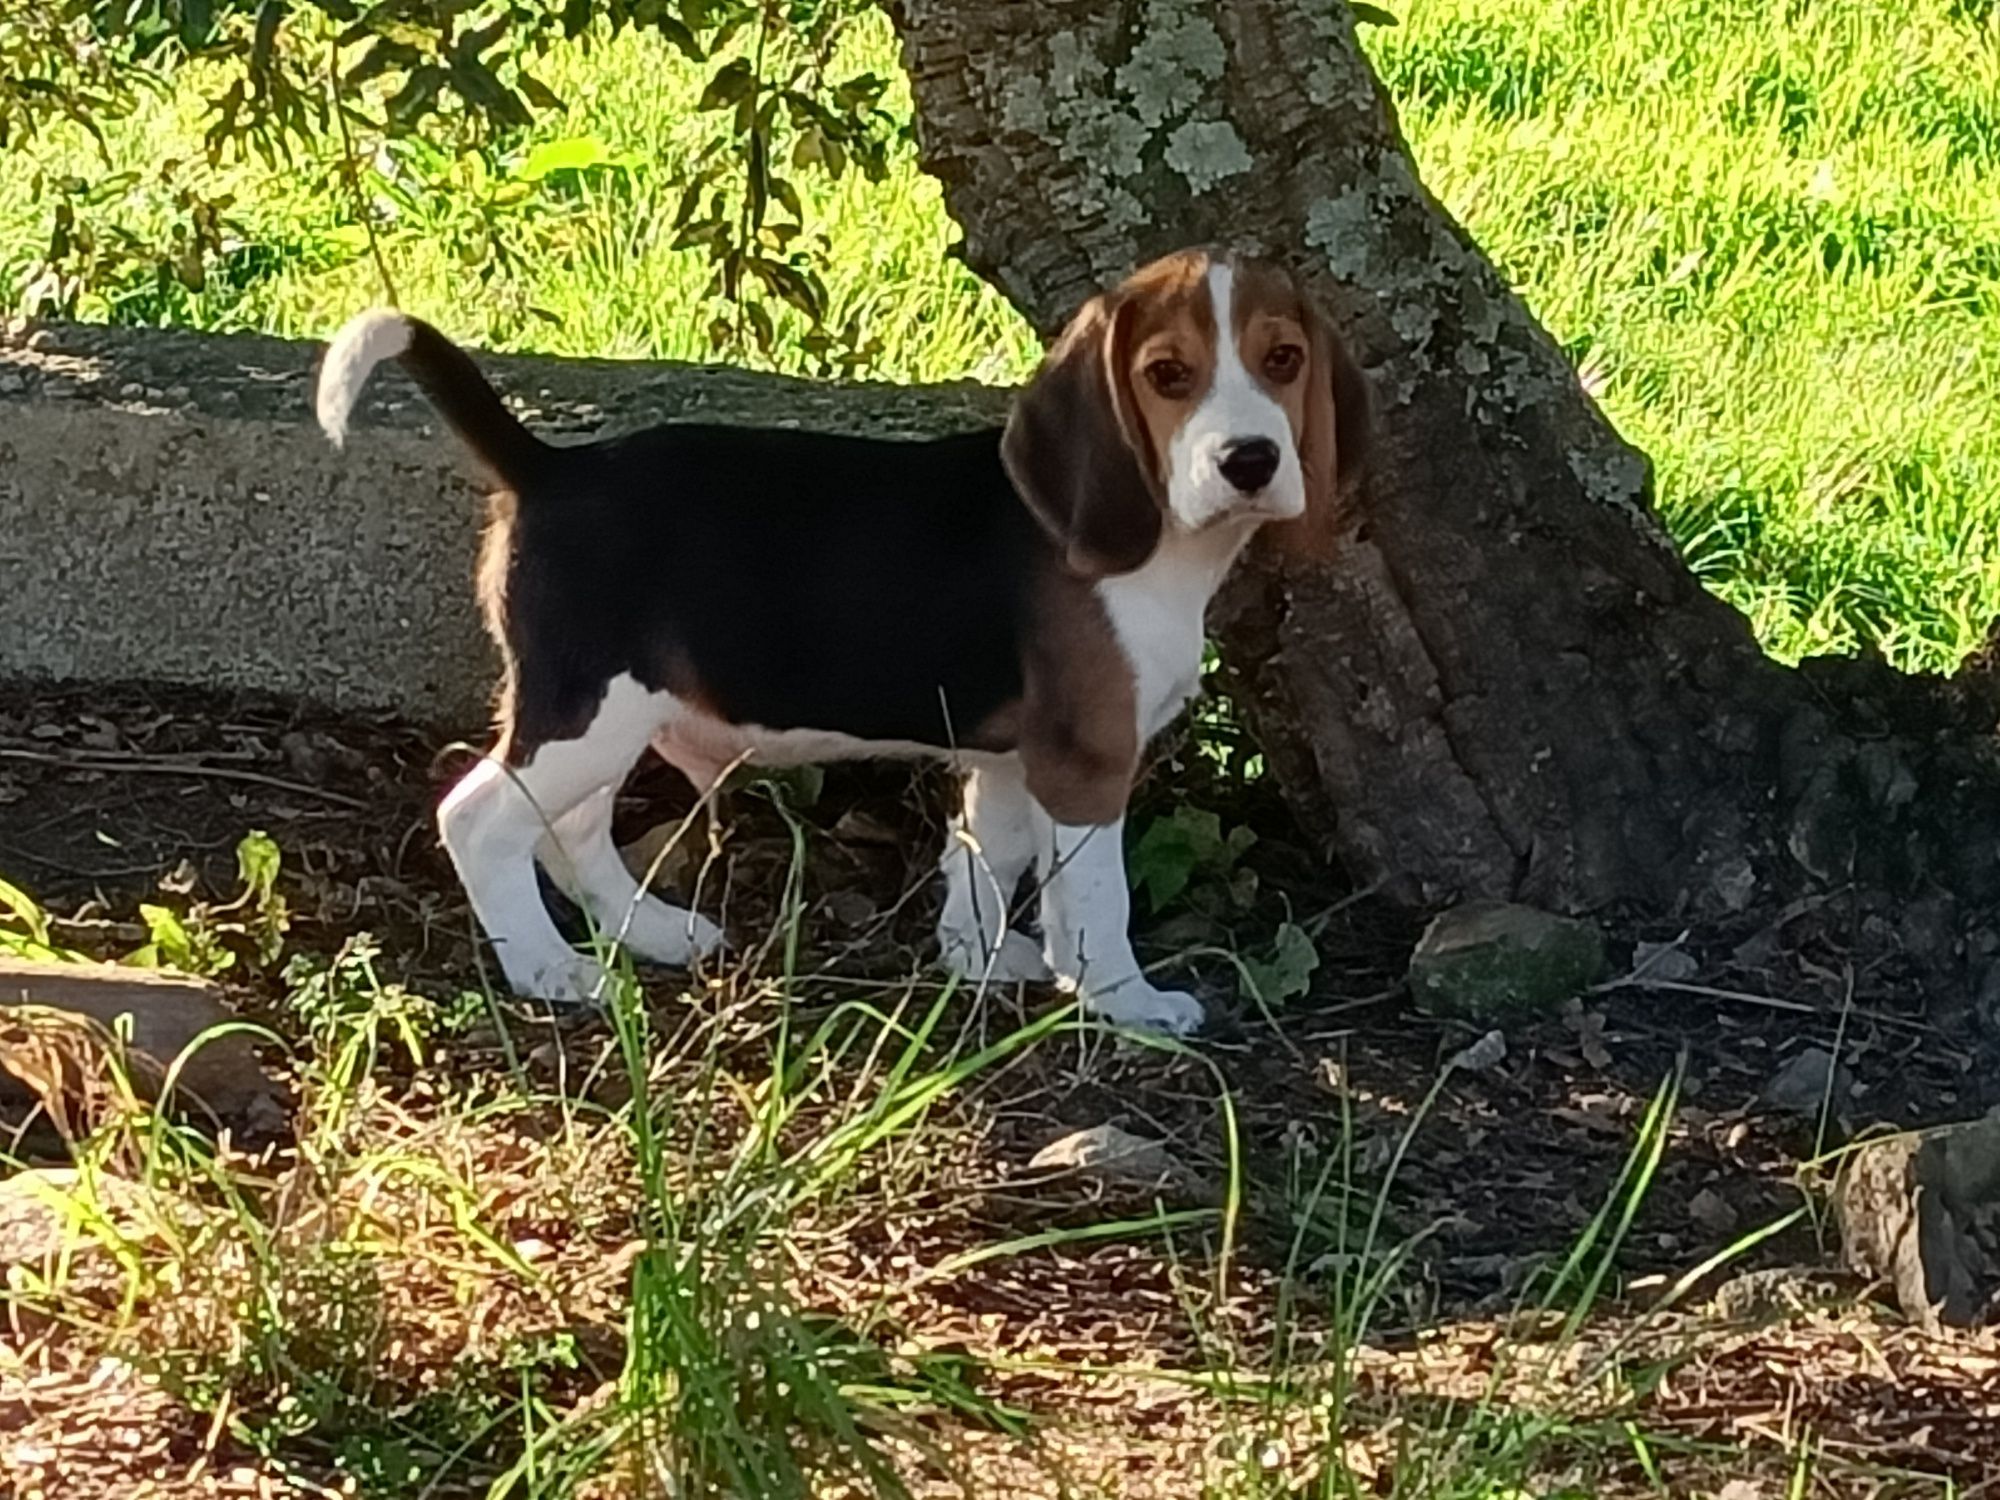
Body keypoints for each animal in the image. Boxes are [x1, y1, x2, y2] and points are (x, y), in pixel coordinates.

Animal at [316, 253, 1376, 1040]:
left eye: (1284, 360)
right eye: (1168, 376)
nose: (1251, 460)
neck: (1161, 542)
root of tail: (550, 465)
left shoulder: (1009, 756)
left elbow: (989, 857)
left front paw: (982, 960)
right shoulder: (1085, 758)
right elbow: (1096, 893)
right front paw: (1124, 1000)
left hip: (619, 715)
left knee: (567, 830)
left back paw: (651, 933)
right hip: (588, 707)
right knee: (481, 821)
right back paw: (550, 970)